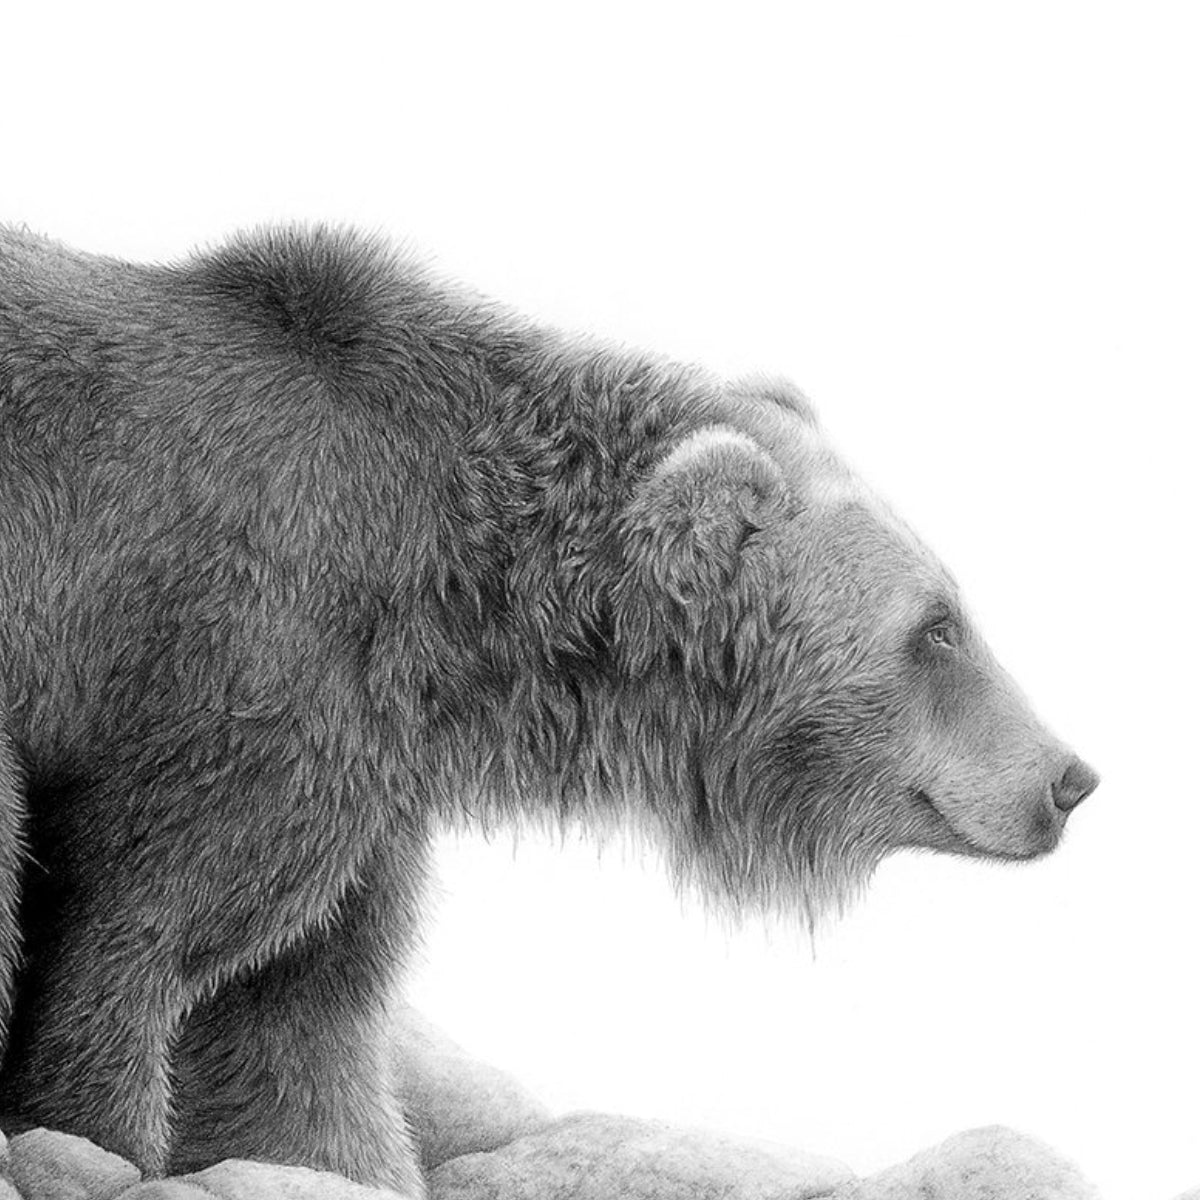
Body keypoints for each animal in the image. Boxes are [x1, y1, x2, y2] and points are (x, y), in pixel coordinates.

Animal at [0, 224, 1098, 1196]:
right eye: (938, 626)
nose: (1070, 776)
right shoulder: (244, 665)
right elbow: (137, 937)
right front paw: (97, 1135)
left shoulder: (365, 772)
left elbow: (298, 1009)